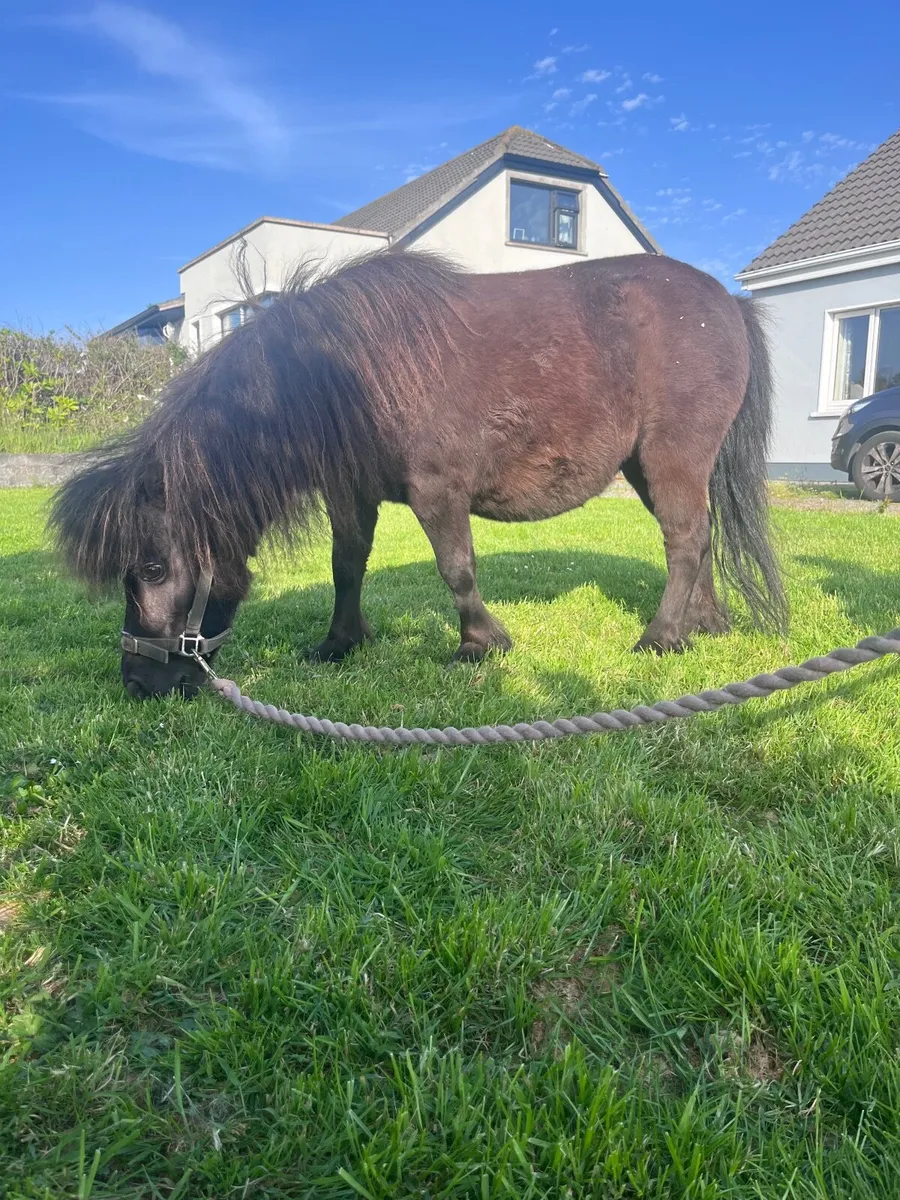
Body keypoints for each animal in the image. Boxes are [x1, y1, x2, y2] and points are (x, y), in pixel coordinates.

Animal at [50, 249, 787, 700]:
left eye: (151, 569)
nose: (137, 684)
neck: (342, 375)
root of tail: (728, 303)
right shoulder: (349, 493)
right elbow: (347, 567)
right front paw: (340, 642)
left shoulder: (439, 493)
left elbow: (456, 569)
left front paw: (479, 645)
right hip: (647, 467)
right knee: (699, 536)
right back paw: (704, 625)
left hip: (672, 456)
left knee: (685, 540)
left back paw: (660, 638)